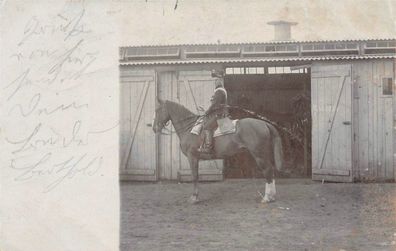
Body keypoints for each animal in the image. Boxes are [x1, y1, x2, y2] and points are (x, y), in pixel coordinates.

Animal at [152, 98, 284, 204]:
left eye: (158, 110)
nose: (154, 128)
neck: (190, 129)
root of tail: (264, 123)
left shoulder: (192, 157)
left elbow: (195, 176)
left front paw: (194, 198)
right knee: (270, 171)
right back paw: (271, 197)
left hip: (259, 155)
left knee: (267, 171)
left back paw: (267, 198)